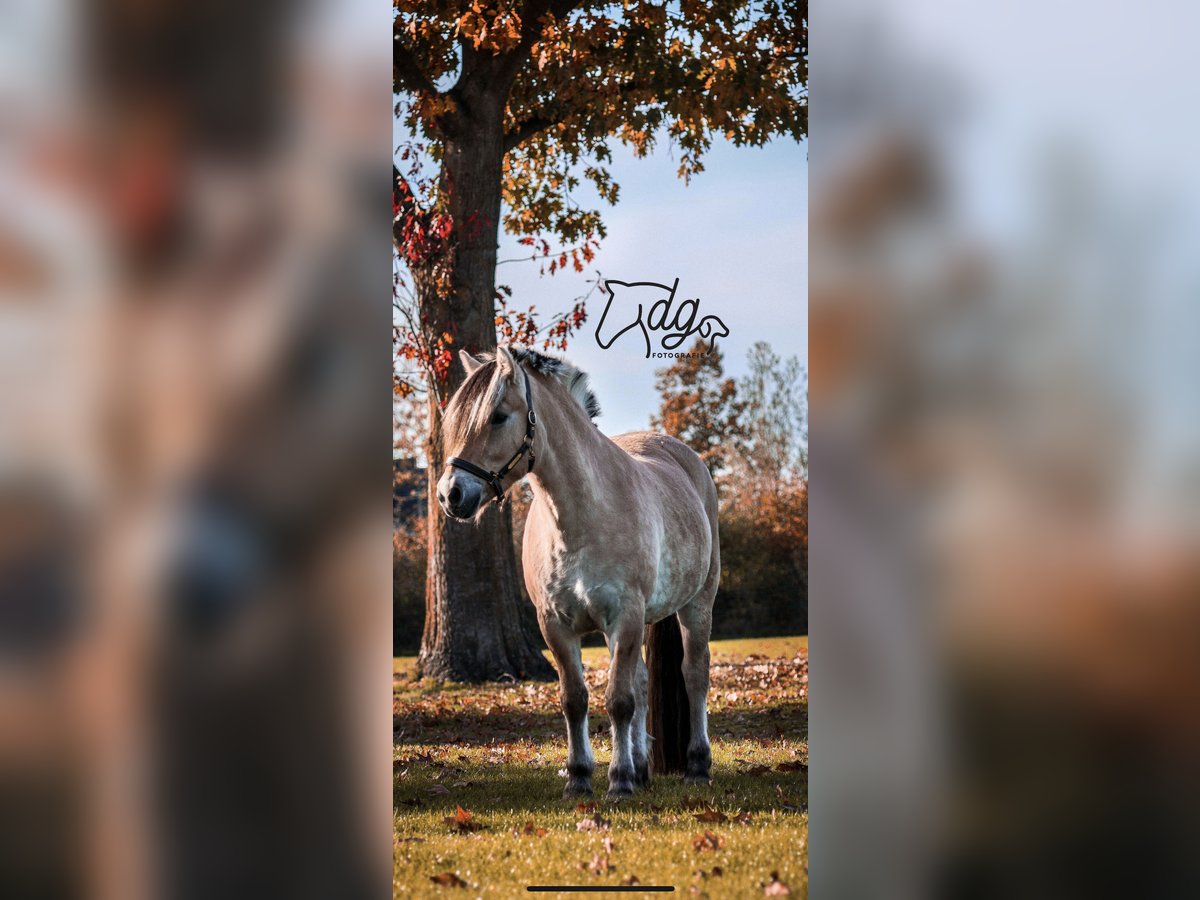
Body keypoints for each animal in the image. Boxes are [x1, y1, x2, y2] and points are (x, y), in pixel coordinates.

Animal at [441, 348, 720, 801]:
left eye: (498, 416)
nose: (451, 495)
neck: (580, 517)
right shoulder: (556, 625)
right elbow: (576, 699)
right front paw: (579, 777)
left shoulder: (624, 617)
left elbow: (619, 700)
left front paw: (618, 780)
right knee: (642, 683)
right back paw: (642, 768)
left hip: (697, 605)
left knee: (694, 674)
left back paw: (696, 765)